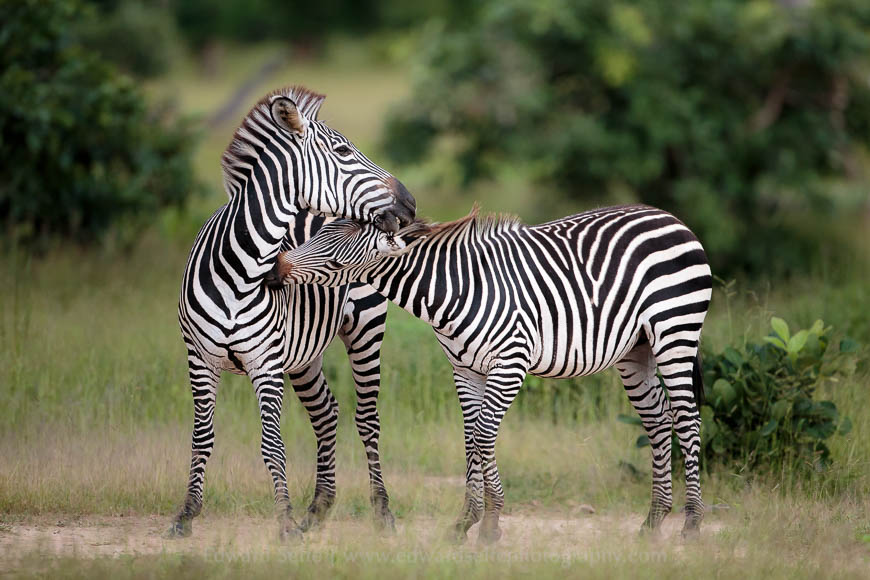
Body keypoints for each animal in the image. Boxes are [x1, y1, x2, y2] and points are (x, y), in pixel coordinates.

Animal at [172, 85, 415, 540]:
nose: (409, 204)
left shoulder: (264, 361)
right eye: (343, 150)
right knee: (326, 412)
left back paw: (383, 513)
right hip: (303, 354)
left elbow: (271, 443)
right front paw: (186, 514)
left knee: (367, 418)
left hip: (366, 328)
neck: (240, 269)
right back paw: (318, 510)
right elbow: (202, 436)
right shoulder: (199, 357)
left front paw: (283, 522)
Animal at [266, 204, 713, 542]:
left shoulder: (510, 361)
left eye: (335, 260)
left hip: (675, 333)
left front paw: (491, 523)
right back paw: (653, 522)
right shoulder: (465, 368)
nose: (273, 273)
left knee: (687, 420)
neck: (454, 290)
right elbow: (471, 438)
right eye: (313, 237)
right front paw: (466, 522)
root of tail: (669, 217)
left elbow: (483, 434)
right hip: (636, 351)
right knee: (658, 422)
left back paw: (691, 525)